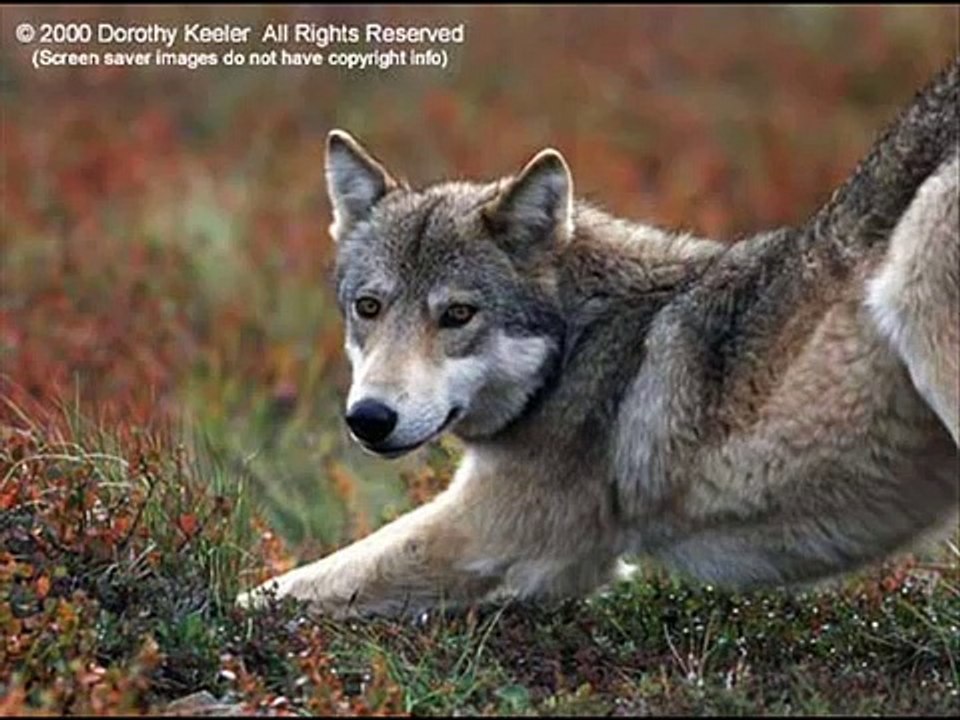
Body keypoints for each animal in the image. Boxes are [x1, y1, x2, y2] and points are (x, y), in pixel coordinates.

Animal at [238, 58, 959, 618]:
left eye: (458, 315)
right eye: (369, 307)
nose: (369, 418)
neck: (575, 349)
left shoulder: (493, 531)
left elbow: (281, 589)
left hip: (916, 287)